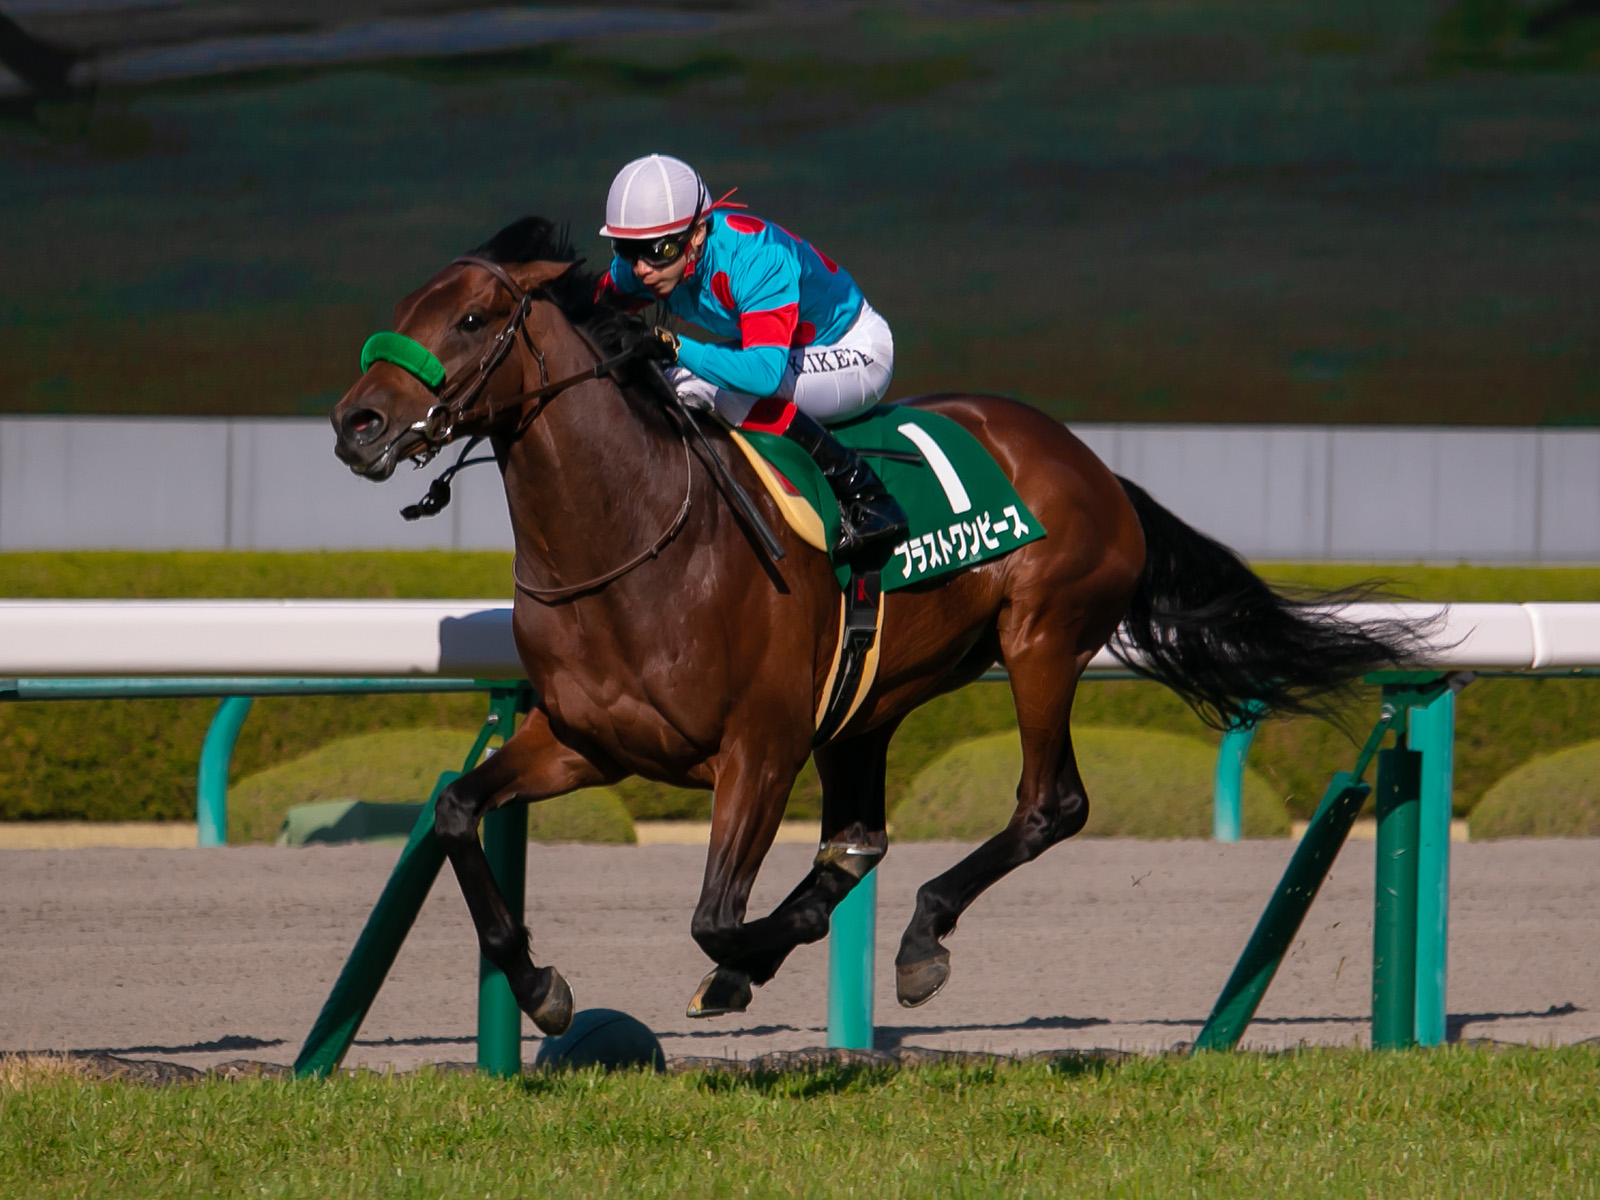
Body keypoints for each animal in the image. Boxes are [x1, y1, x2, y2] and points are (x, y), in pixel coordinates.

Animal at [330, 216, 1416, 1035]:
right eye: (400, 316)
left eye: (472, 317)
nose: (355, 424)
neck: (633, 539)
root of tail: (1091, 461)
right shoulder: (586, 741)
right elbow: (458, 811)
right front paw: (540, 986)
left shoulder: (760, 748)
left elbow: (716, 918)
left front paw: (755, 959)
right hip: (871, 698)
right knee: (862, 836)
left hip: (1041, 638)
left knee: (1048, 805)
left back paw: (921, 938)